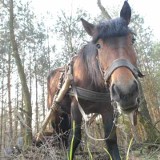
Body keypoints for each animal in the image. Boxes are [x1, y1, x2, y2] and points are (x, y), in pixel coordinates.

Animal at [47, 0, 143, 159]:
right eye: (98, 45)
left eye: (133, 39)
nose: (126, 92)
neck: (93, 81)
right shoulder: (75, 108)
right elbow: (74, 139)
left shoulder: (108, 110)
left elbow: (111, 140)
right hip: (55, 112)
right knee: (59, 135)